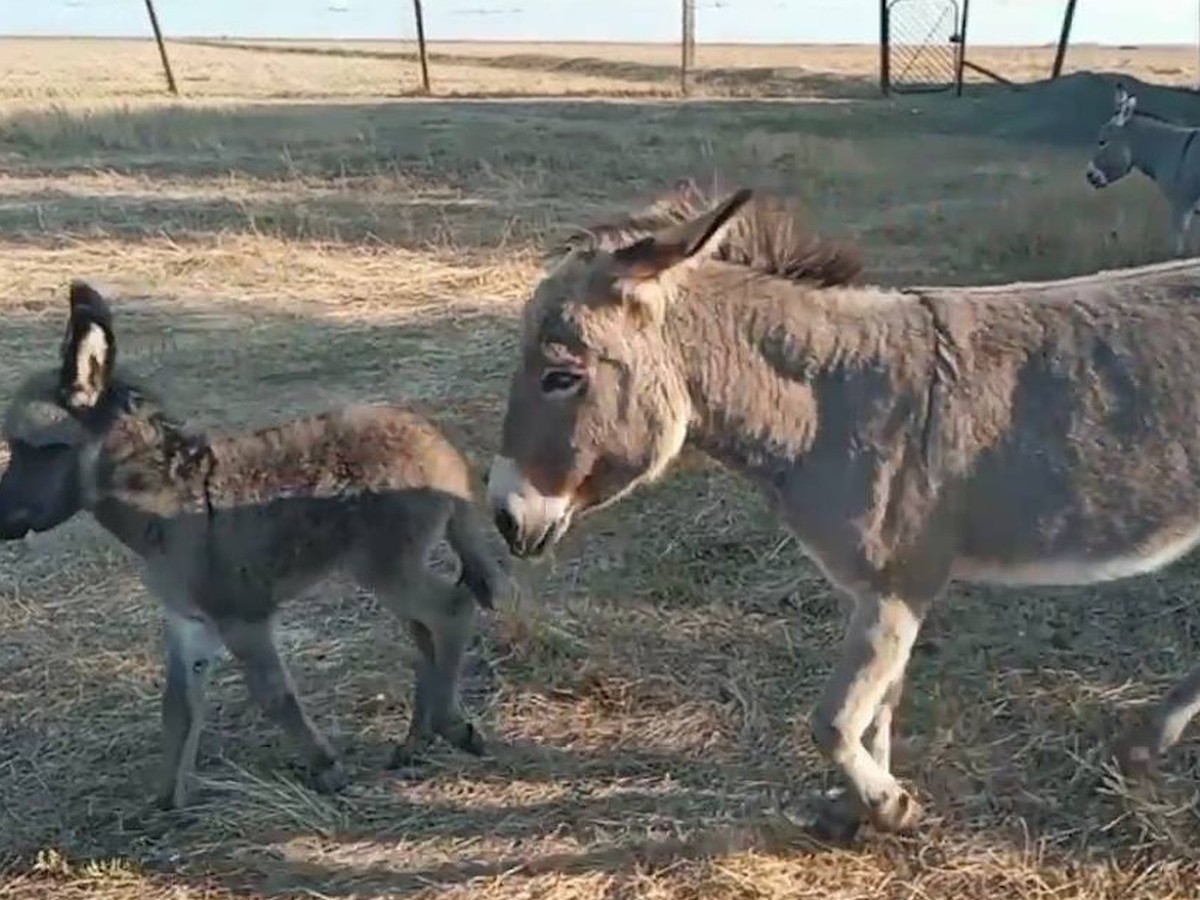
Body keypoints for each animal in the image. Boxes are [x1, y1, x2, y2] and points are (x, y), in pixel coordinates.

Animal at [0, 283, 501, 811]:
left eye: (41, 448)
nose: (1, 520)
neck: (166, 502)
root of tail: (440, 445)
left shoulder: (242, 617)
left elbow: (272, 694)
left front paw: (326, 768)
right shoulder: (189, 623)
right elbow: (178, 708)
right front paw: (165, 804)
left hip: (387, 566)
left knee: (451, 609)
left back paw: (452, 727)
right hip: (390, 568)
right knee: (426, 633)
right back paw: (415, 742)